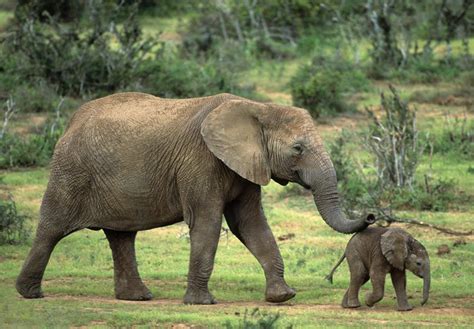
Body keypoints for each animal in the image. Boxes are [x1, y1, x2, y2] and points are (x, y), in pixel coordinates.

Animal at [15, 91, 374, 302]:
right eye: (298, 149)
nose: (371, 216)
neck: (256, 108)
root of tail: (70, 122)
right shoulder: (200, 160)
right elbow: (208, 222)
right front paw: (202, 302)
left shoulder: (244, 163)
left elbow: (251, 224)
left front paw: (282, 296)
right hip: (71, 170)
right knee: (52, 228)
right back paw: (30, 294)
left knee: (122, 236)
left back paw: (138, 297)